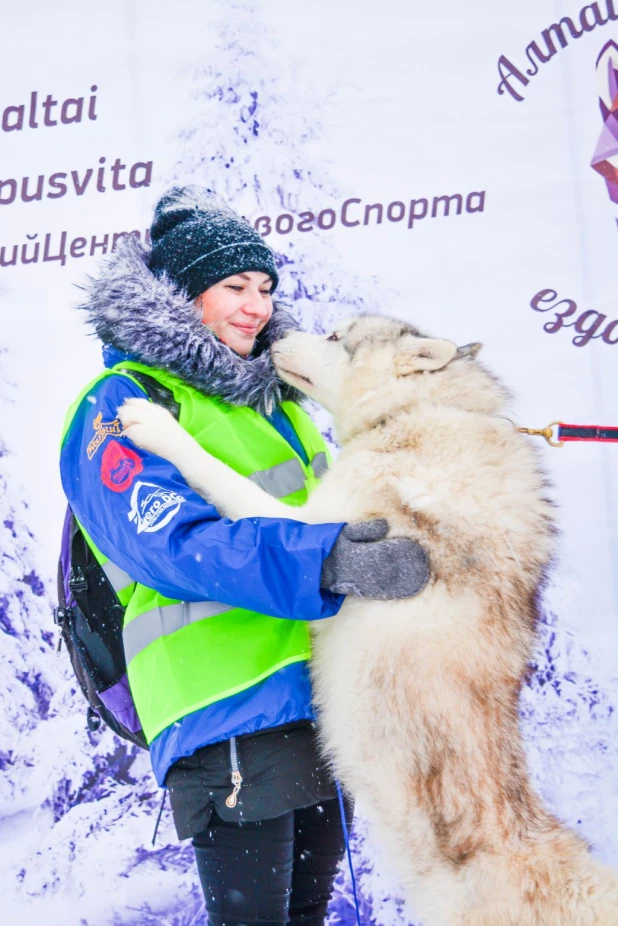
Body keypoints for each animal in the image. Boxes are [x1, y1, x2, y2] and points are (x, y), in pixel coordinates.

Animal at [119, 316, 616, 924]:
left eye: (337, 337)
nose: (270, 338)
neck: (416, 411)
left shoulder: (312, 522)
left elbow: (223, 479)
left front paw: (154, 424)